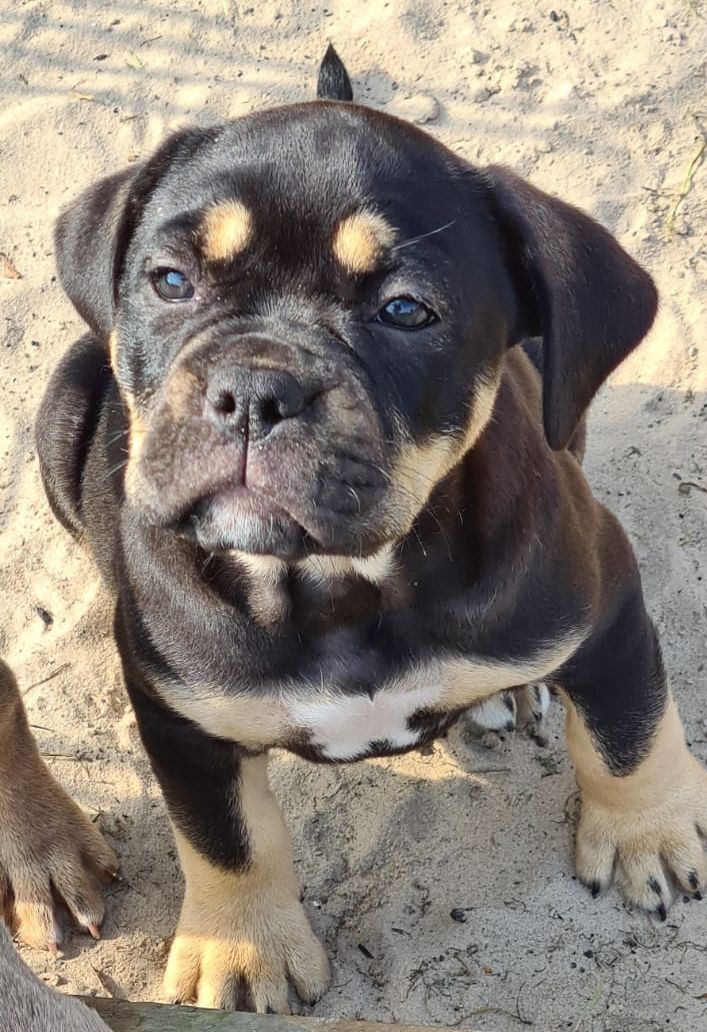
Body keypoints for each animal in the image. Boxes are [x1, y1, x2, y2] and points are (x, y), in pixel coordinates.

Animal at [32, 45, 707, 1012]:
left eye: (405, 311)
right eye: (170, 282)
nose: (253, 390)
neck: (337, 584)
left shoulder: (605, 609)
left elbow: (628, 733)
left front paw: (646, 835)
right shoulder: (179, 716)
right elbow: (227, 838)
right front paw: (244, 949)